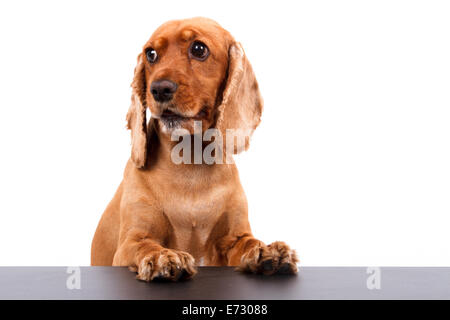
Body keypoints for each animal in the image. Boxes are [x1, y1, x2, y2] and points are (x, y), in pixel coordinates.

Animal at [90, 17, 298, 282]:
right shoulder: (130, 243)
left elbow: (249, 242)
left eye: (199, 49)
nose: (159, 89)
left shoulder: (234, 238)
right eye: (151, 54)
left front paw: (267, 252)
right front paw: (163, 257)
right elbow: (146, 246)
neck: (189, 163)